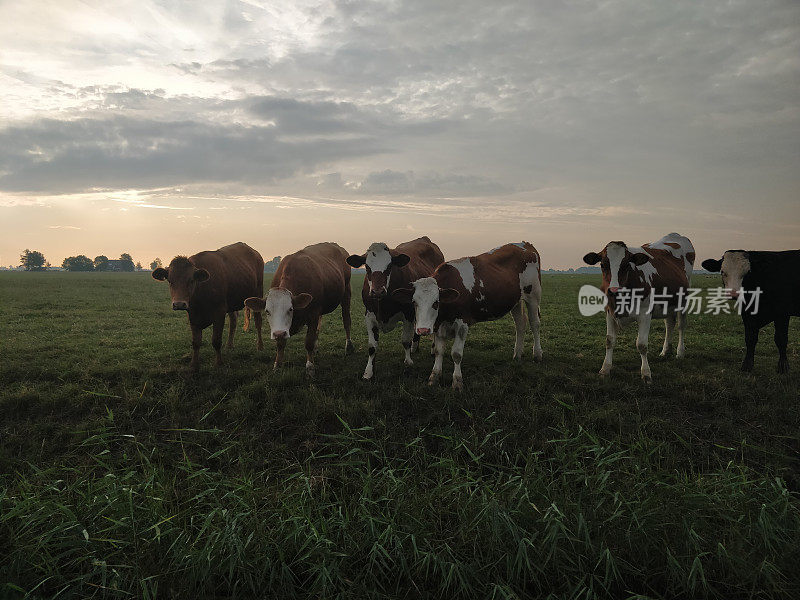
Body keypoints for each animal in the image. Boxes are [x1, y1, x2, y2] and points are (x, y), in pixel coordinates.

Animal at [242, 243, 352, 376]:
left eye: (290, 309)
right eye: (267, 311)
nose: (279, 333)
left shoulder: (313, 314)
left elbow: (308, 341)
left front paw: (310, 367)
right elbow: (280, 344)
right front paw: (277, 365)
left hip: (346, 292)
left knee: (346, 320)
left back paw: (348, 347)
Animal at [346, 236, 444, 380]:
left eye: (389, 266)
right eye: (367, 267)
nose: (377, 291)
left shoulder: (408, 313)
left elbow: (405, 341)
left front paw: (408, 364)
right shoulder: (369, 315)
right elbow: (372, 347)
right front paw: (368, 372)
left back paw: (431, 349)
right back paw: (415, 347)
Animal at [390, 241, 540, 392]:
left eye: (436, 302)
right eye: (414, 302)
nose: (423, 330)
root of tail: (525, 244)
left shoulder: (462, 324)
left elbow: (456, 354)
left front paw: (457, 382)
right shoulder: (439, 325)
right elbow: (438, 351)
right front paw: (434, 377)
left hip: (533, 296)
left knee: (535, 323)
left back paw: (537, 354)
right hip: (515, 301)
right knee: (520, 323)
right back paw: (517, 354)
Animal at [580, 232, 692, 382]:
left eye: (627, 265)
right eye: (603, 265)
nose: (614, 290)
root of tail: (675, 235)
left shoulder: (645, 314)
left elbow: (642, 345)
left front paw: (646, 373)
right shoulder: (609, 312)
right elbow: (609, 340)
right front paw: (605, 369)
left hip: (683, 301)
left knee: (681, 326)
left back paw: (680, 352)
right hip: (668, 304)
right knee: (669, 324)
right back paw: (665, 351)